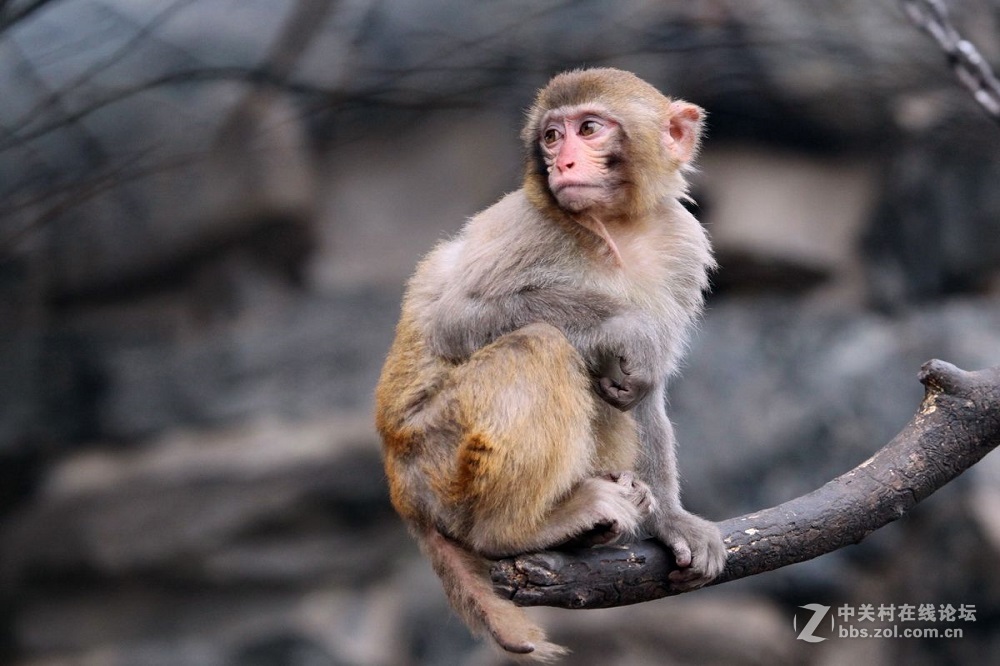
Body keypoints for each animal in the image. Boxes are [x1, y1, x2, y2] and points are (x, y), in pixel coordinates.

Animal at [376, 67, 728, 660]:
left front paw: (671, 519)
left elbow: (644, 391)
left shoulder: (681, 245)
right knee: (538, 344)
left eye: (588, 129)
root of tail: (402, 491)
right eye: (551, 137)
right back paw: (515, 530)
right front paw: (627, 326)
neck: (616, 228)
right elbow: (456, 317)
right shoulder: (527, 229)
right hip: (437, 459)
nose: (562, 163)